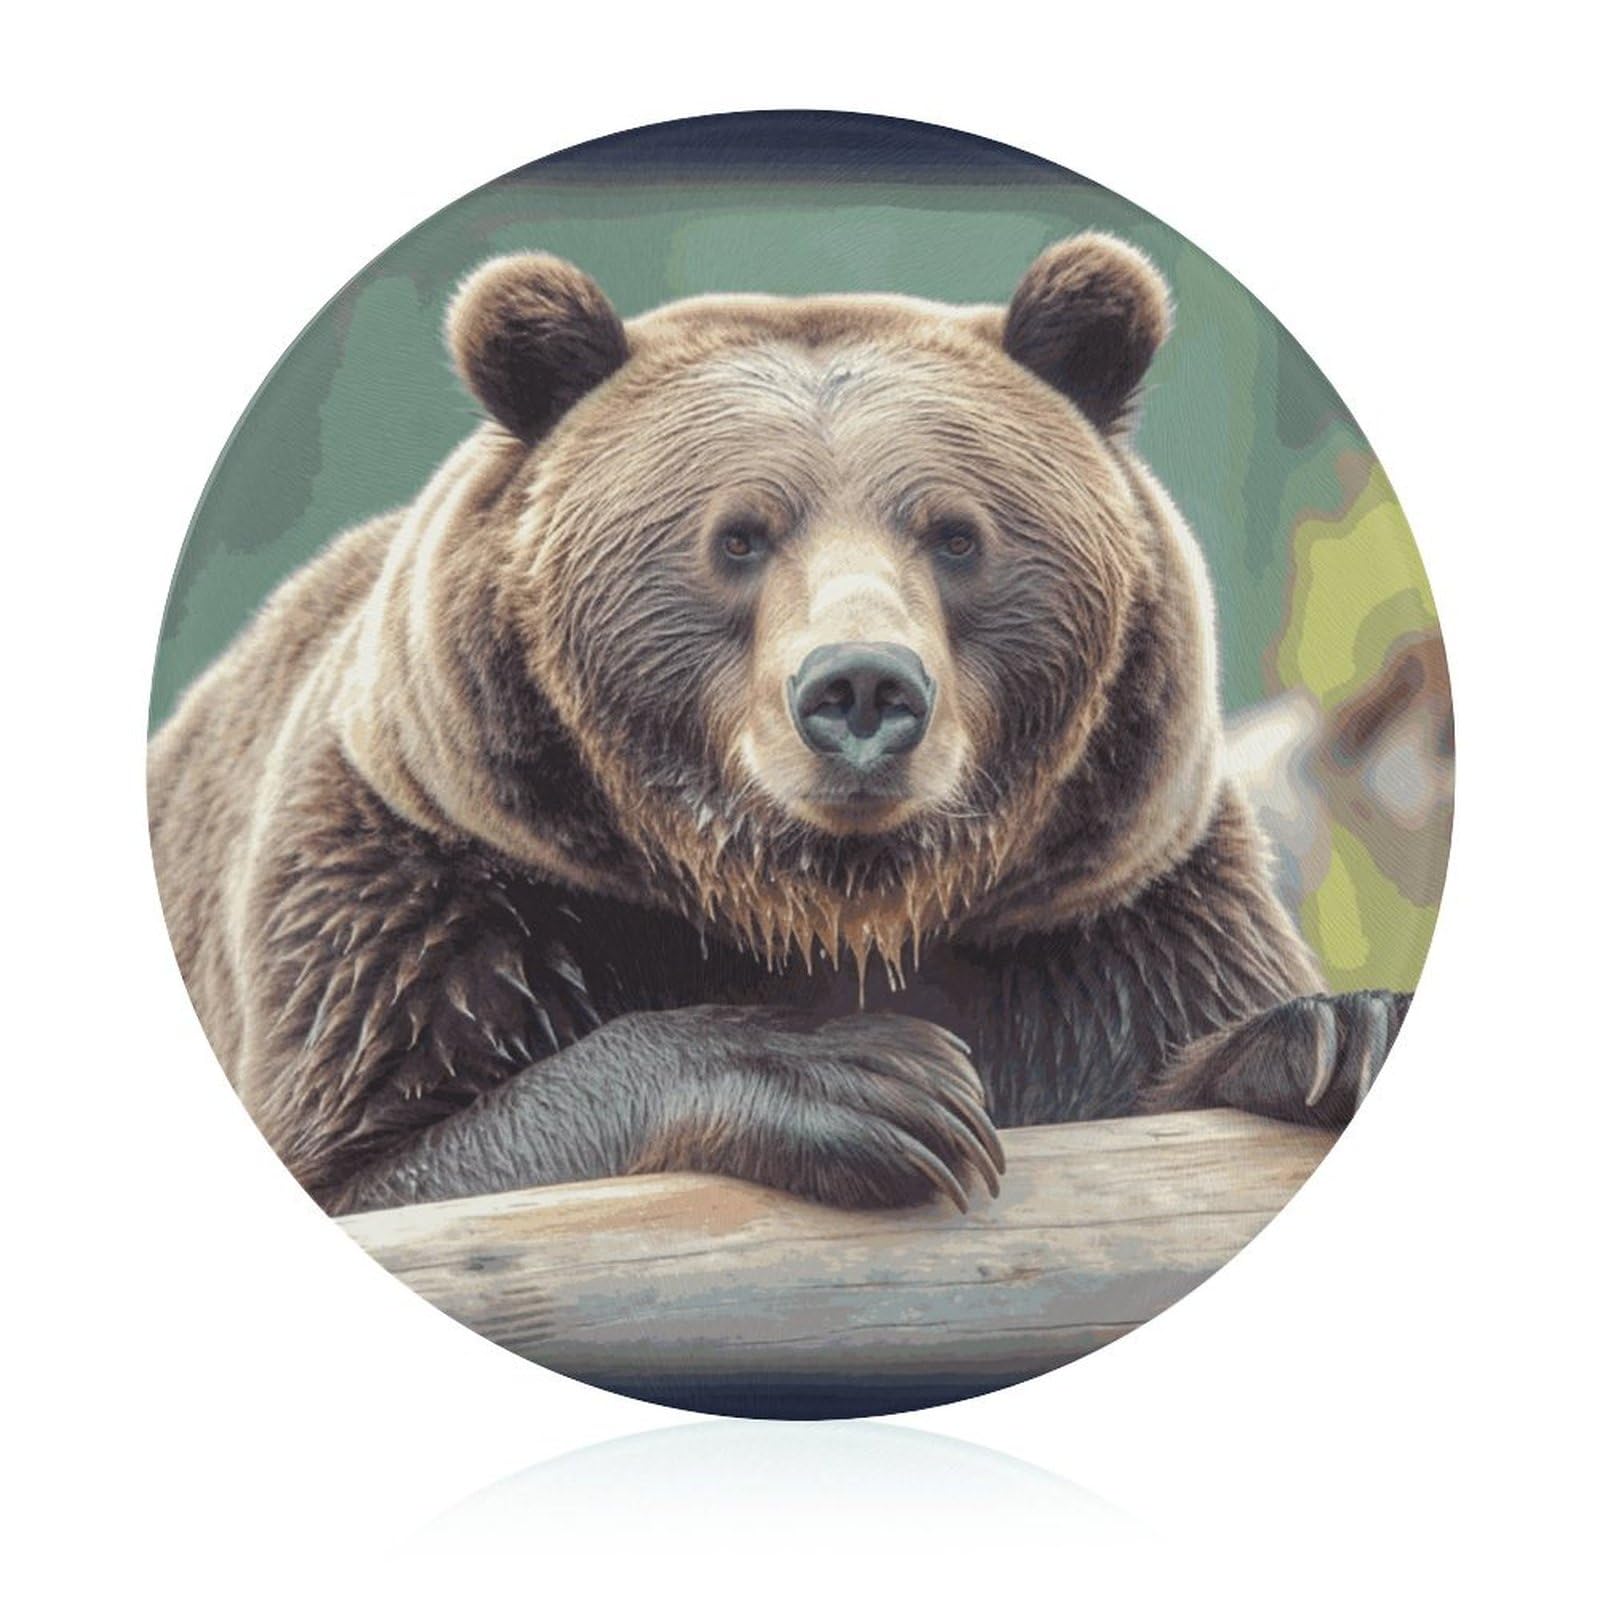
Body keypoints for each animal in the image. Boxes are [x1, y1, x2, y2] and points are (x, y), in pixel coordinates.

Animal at [148, 235, 1409, 1218]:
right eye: (739, 536)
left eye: (956, 533)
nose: (860, 689)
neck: (829, 905)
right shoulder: (432, 889)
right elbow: (392, 1161)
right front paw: (876, 1082)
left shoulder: (1112, 918)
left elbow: (1188, 1038)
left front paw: (1337, 1032)